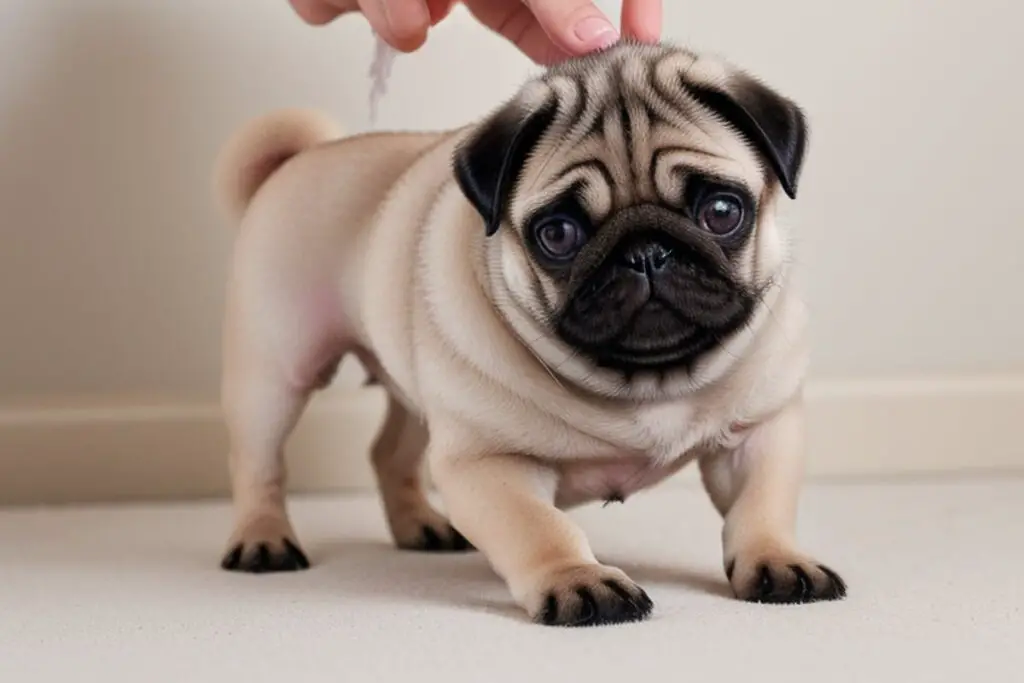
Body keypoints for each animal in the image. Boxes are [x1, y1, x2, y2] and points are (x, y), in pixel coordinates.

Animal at [211, 40, 843, 626]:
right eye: (557, 233)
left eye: (721, 211)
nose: (646, 253)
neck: (648, 381)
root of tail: (299, 160)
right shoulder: (487, 462)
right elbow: (541, 527)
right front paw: (580, 580)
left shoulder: (760, 432)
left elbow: (760, 506)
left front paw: (777, 559)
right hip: (275, 373)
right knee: (259, 462)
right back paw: (263, 541)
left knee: (390, 452)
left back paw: (420, 527)